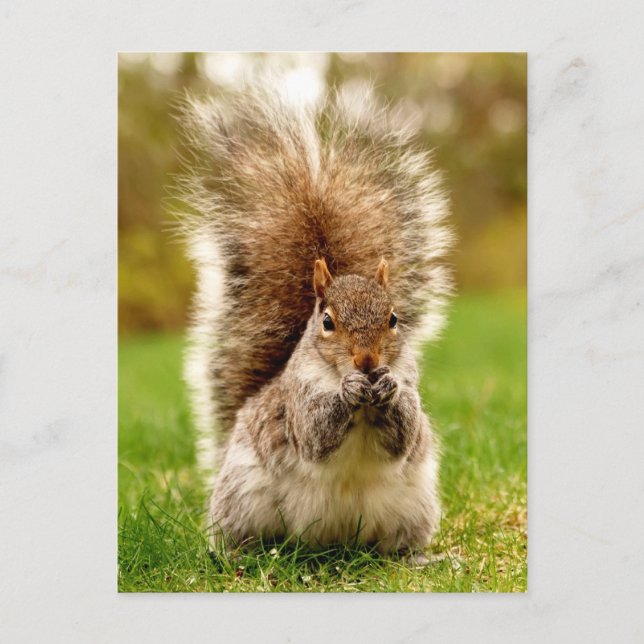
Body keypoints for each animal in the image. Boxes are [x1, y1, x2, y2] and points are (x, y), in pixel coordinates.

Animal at [178, 81, 454, 555]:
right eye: (327, 322)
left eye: (394, 318)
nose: (367, 362)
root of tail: (333, 545)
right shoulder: (299, 398)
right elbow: (315, 434)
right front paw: (347, 391)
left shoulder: (411, 388)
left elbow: (404, 431)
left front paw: (388, 389)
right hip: (242, 496)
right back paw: (241, 552)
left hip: (415, 506)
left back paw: (418, 559)